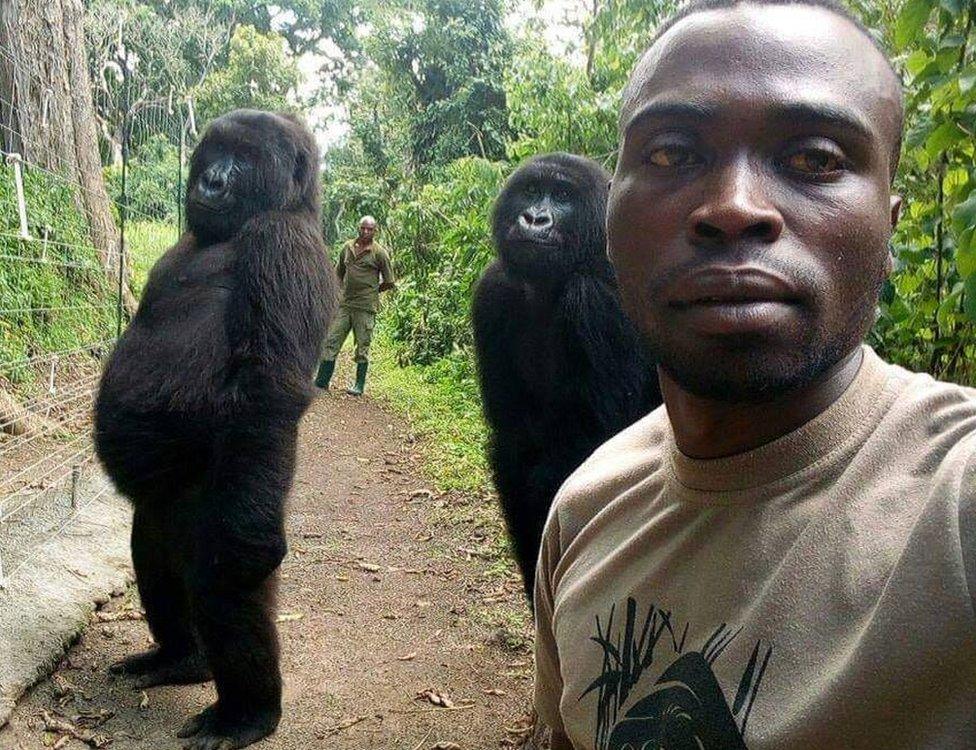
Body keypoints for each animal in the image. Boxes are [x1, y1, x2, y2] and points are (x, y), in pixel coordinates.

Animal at [95, 108, 338, 748]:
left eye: (246, 159)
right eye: (215, 152)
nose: (211, 180)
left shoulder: (283, 245)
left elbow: (266, 394)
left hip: (222, 502)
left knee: (225, 584)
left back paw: (247, 712)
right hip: (163, 510)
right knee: (153, 554)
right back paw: (179, 658)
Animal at [472, 156, 664, 604]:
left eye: (561, 196)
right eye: (530, 191)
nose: (534, 218)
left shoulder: (598, 300)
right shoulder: (493, 291)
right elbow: (514, 453)